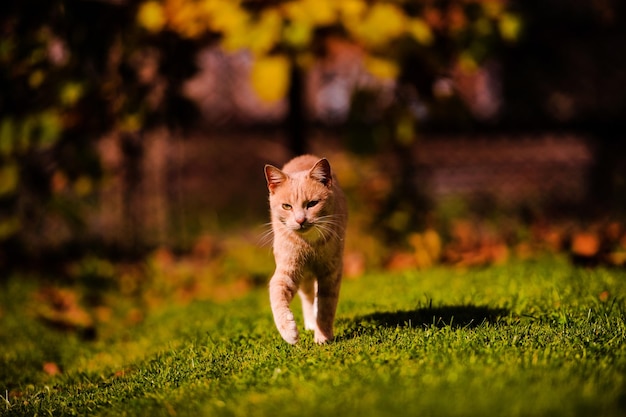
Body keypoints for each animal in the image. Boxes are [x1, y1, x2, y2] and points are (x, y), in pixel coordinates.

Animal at [264, 154, 348, 342]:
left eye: (312, 204)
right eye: (286, 206)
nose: (300, 220)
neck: (310, 244)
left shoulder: (331, 272)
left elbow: (326, 307)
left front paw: (323, 337)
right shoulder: (288, 269)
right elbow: (277, 294)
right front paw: (288, 331)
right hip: (305, 276)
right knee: (308, 297)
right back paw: (310, 323)